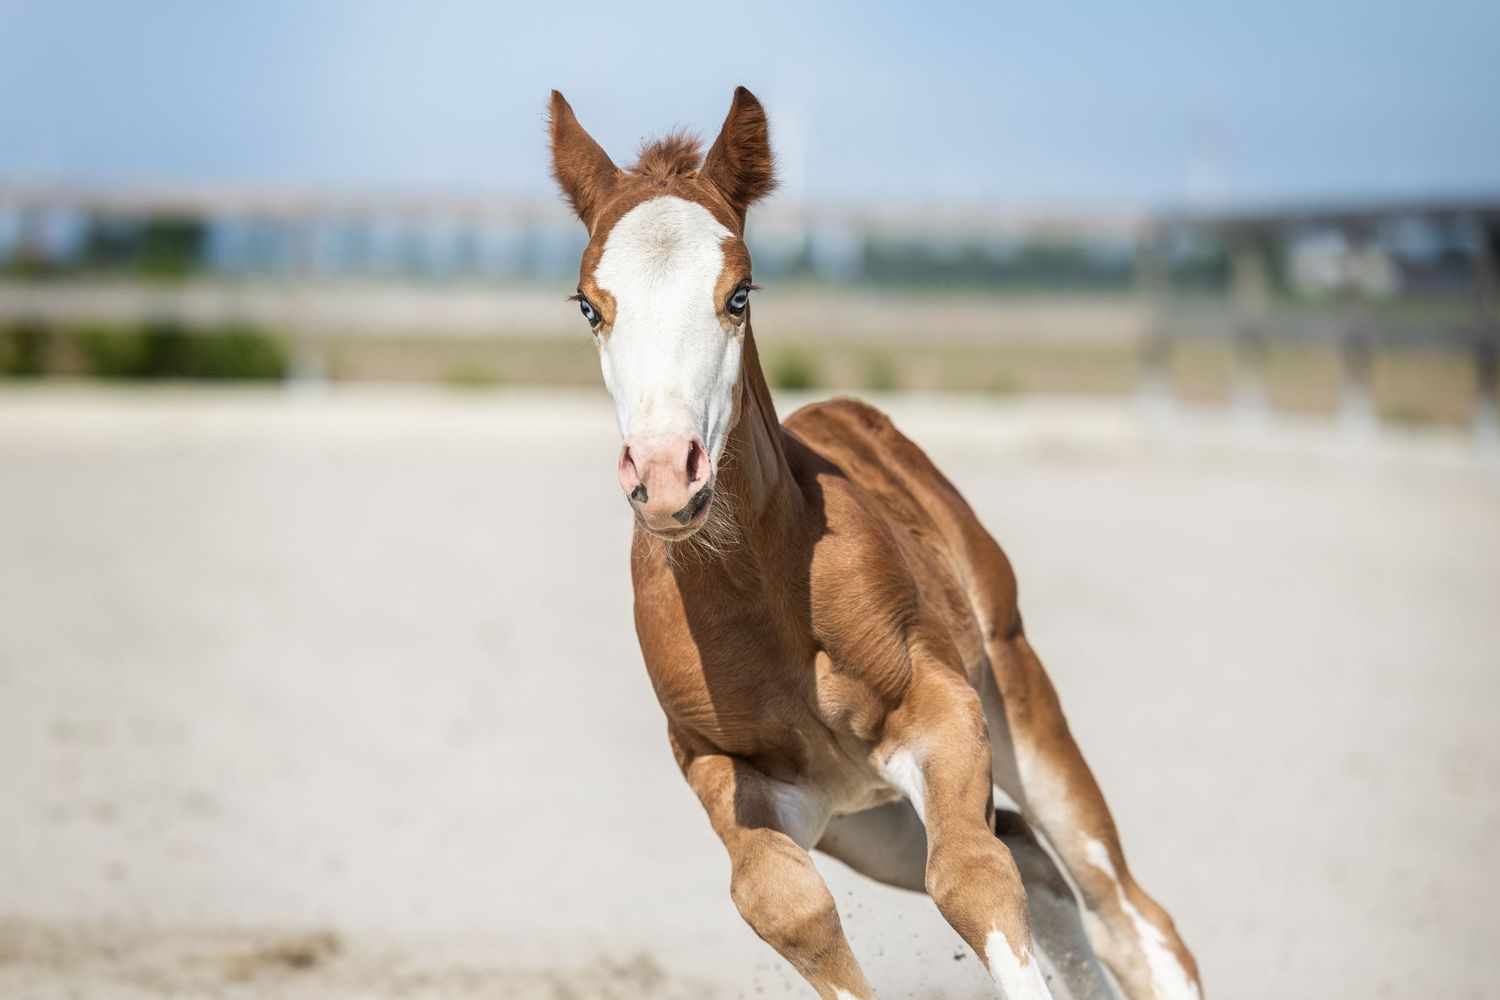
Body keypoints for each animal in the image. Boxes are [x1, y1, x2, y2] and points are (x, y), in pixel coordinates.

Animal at [548, 85, 1201, 1000]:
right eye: (589, 306)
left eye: (739, 293)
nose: (667, 474)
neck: (765, 602)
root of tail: (861, 414)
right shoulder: (722, 770)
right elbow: (788, 908)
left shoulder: (943, 710)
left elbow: (970, 877)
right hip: (866, 823)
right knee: (1034, 860)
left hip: (1019, 708)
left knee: (1126, 913)